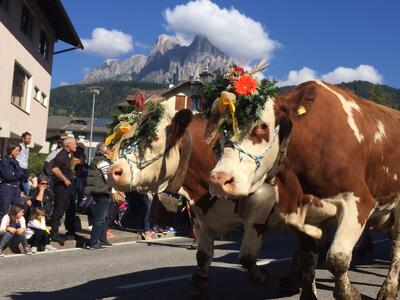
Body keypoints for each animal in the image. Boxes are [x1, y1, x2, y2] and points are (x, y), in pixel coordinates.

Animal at [208, 79, 400, 300]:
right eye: (222, 127)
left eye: (263, 126)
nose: (219, 180)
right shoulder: (305, 211)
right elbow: (307, 258)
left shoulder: (359, 201)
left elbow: (337, 258)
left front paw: (349, 293)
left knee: (396, 245)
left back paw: (389, 289)